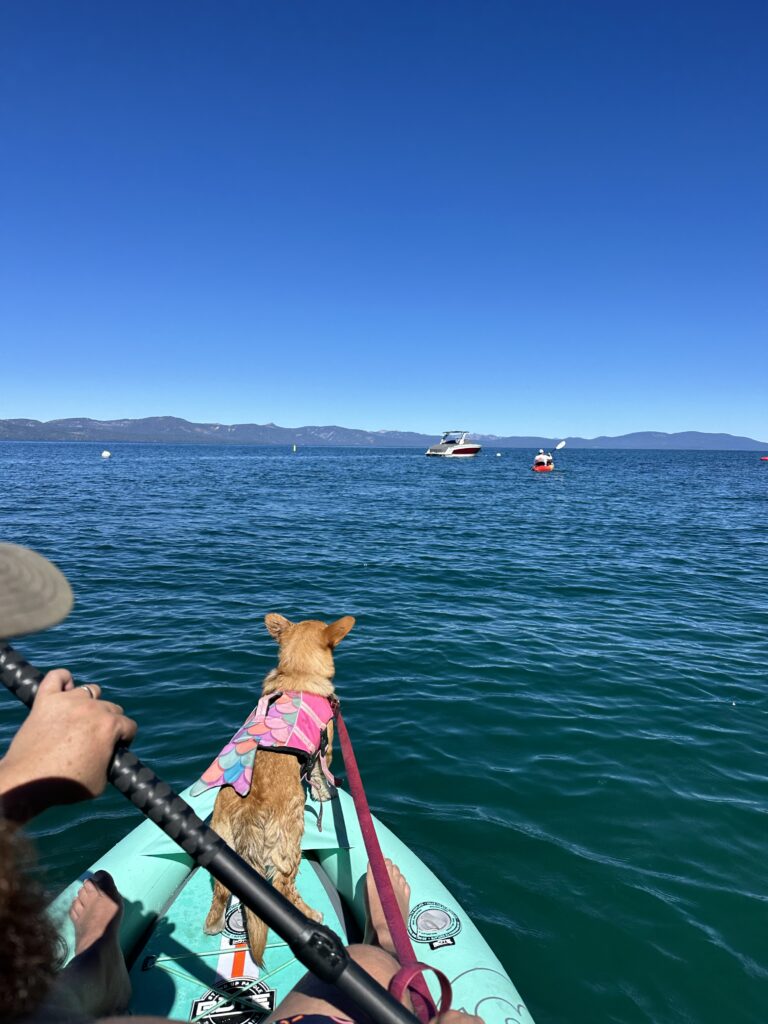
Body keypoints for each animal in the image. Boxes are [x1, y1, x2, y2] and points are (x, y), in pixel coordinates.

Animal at [199, 610, 354, 962]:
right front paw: (328, 791)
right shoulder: (325, 749)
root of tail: (247, 814)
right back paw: (310, 915)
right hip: (291, 842)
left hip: (222, 849)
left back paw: (213, 924)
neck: (296, 674)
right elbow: (322, 777)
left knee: (221, 892)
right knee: (284, 886)